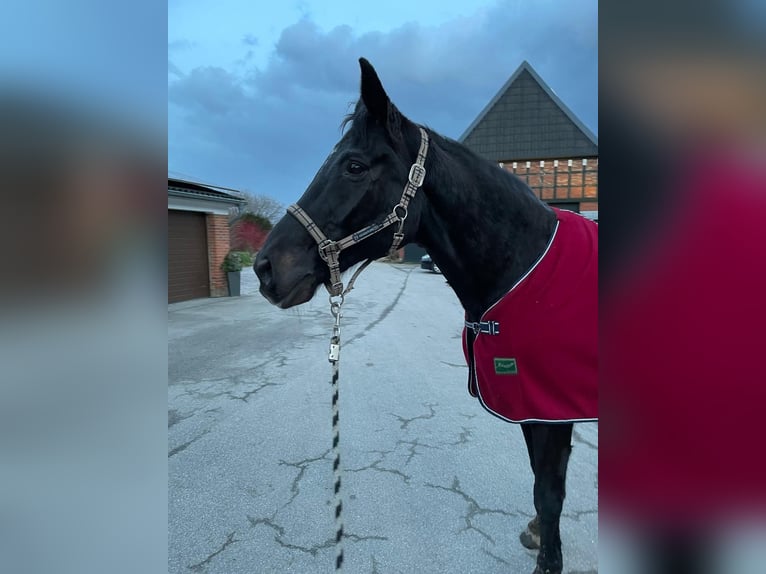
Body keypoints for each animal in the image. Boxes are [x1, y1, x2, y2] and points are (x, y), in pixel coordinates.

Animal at [255, 59, 596, 574]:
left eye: (354, 166)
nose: (265, 267)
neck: (524, 265)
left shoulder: (552, 409)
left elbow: (550, 491)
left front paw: (548, 560)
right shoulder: (536, 406)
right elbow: (541, 482)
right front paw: (540, 534)